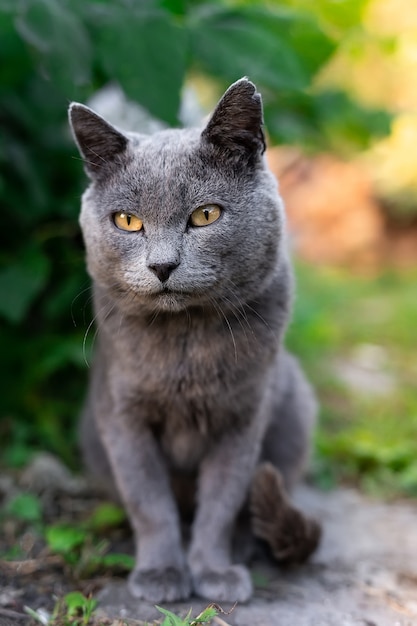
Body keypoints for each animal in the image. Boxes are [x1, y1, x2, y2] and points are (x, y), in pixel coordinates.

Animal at [70, 77, 320, 600]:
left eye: (206, 215)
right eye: (127, 221)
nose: (162, 266)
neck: (185, 343)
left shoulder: (243, 417)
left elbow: (221, 503)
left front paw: (214, 572)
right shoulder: (122, 415)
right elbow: (150, 503)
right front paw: (162, 573)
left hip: (295, 409)